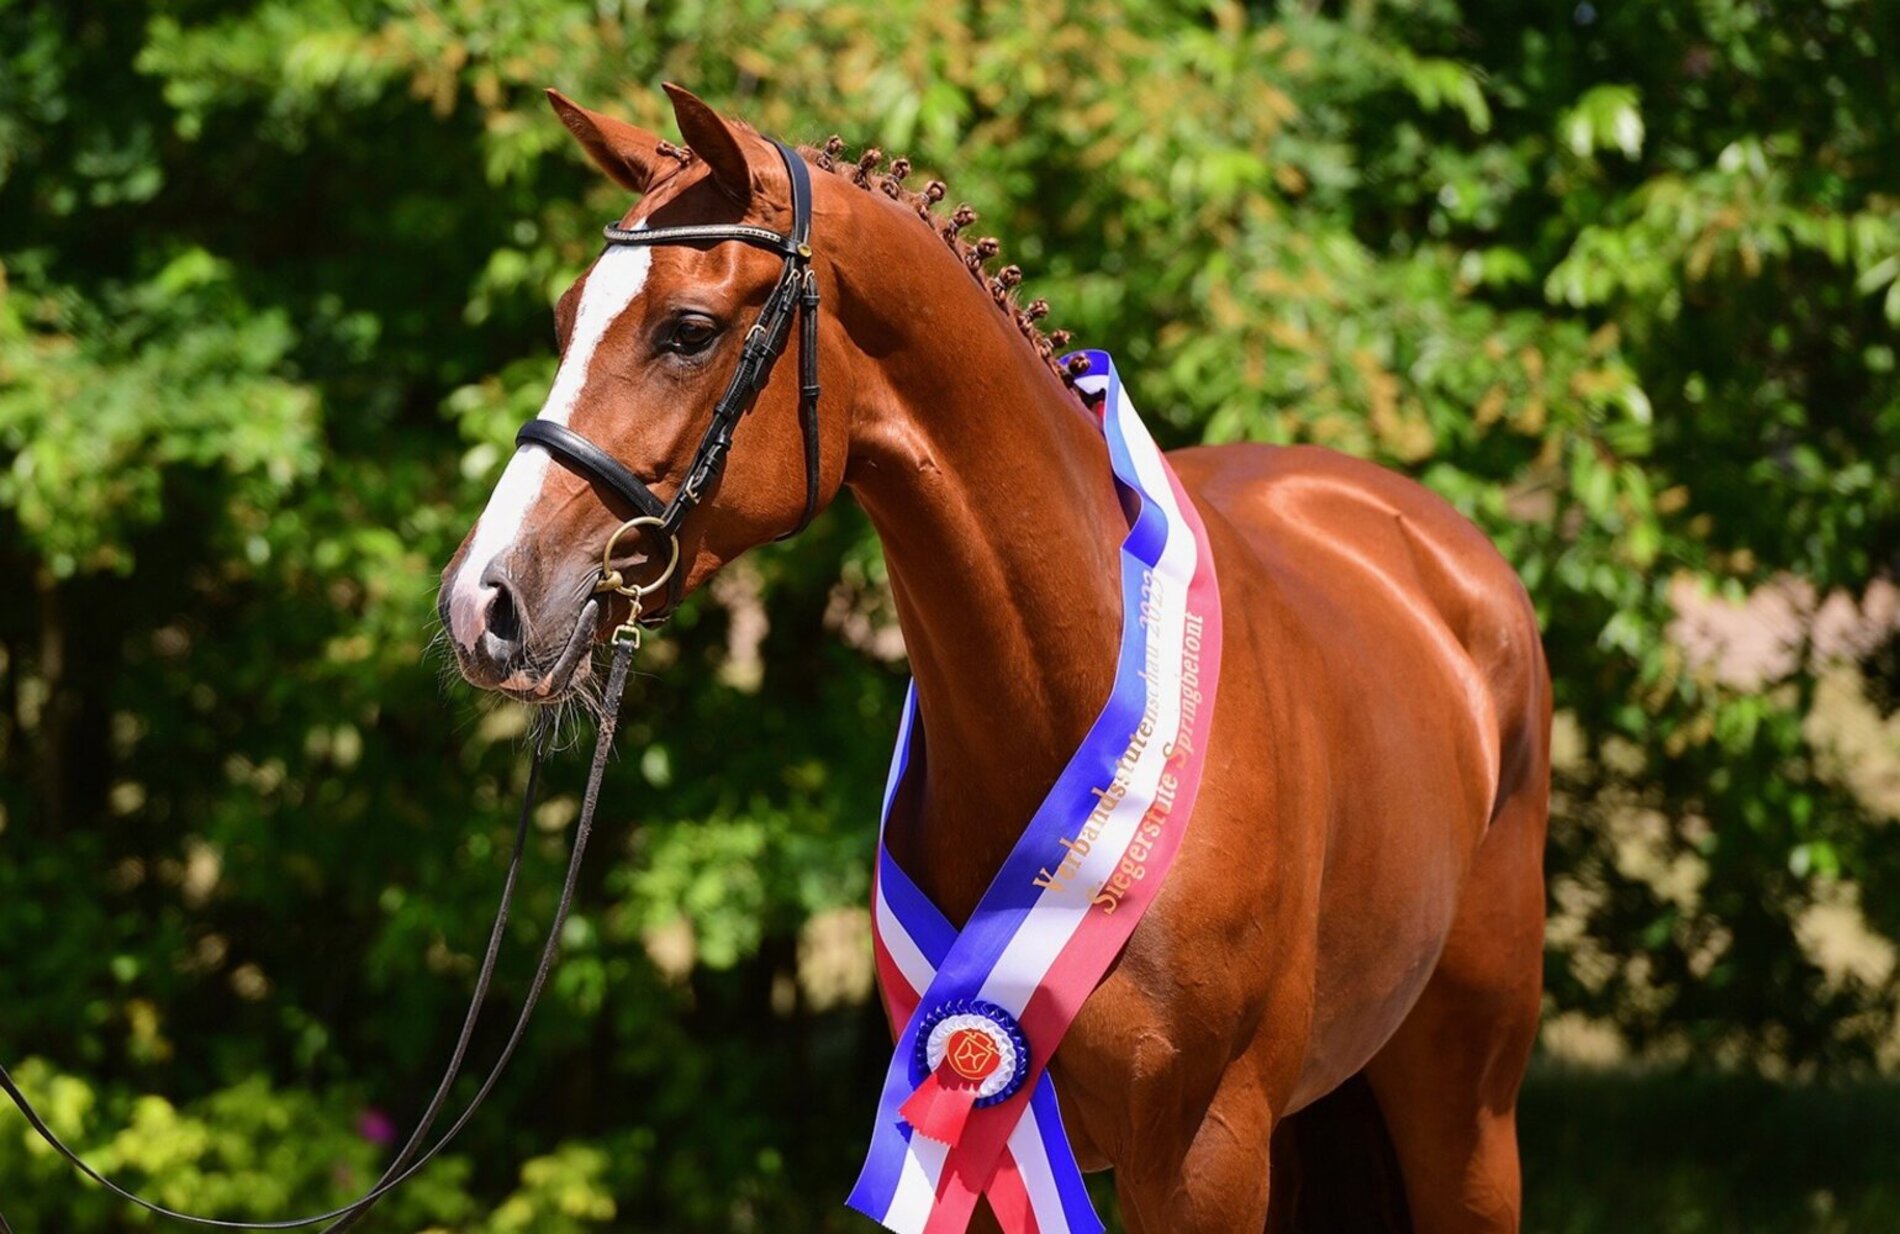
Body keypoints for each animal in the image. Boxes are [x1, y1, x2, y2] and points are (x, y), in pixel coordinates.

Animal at [439, 84, 1551, 1234]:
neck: (1070, 722)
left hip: (1464, 1118)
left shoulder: (1204, 1161)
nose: (486, 602)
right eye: (565, 318)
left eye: (688, 331)